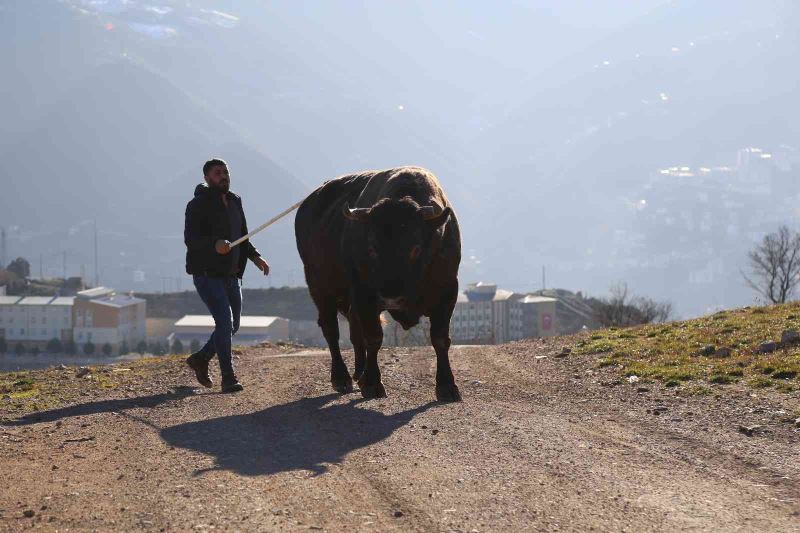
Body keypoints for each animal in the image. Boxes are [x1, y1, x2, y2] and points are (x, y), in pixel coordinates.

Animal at [296, 166, 462, 400]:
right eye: (372, 248)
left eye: (416, 248)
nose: (392, 298)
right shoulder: (364, 294)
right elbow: (374, 337)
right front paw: (373, 384)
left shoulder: (448, 291)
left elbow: (440, 339)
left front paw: (447, 386)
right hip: (319, 286)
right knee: (331, 330)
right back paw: (342, 378)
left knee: (354, 330)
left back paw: (359, 373)